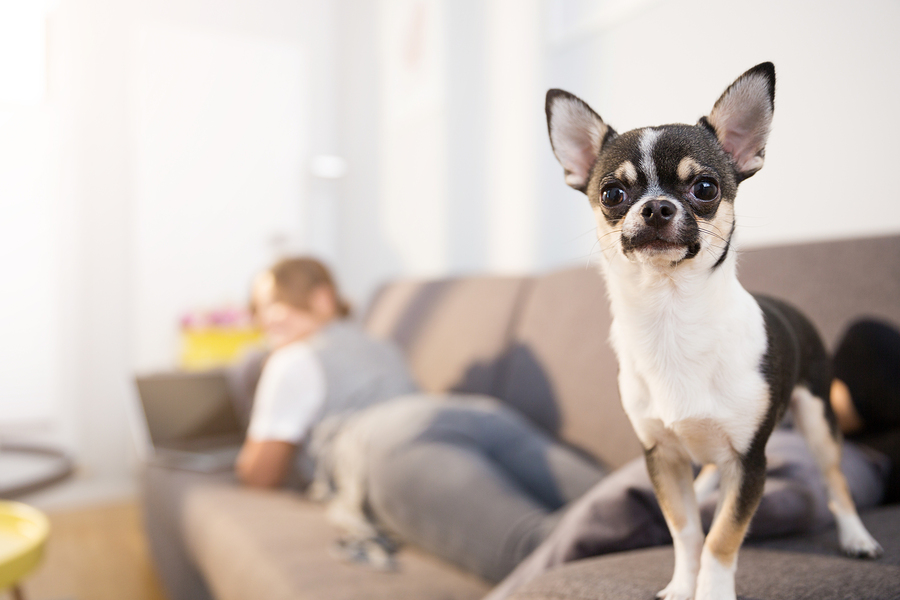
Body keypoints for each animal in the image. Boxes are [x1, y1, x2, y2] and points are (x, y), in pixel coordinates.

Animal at [544, 63, 884, 596]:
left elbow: (723, 537)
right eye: (612, 194)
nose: (656, 207)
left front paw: (712, 589)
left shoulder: (749, 464)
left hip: (818, 418)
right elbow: (686, 531)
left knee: (835, 481)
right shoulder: (662, 456)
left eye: (705, 188)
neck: (671, 317)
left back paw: (856, 537)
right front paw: (684, 585)